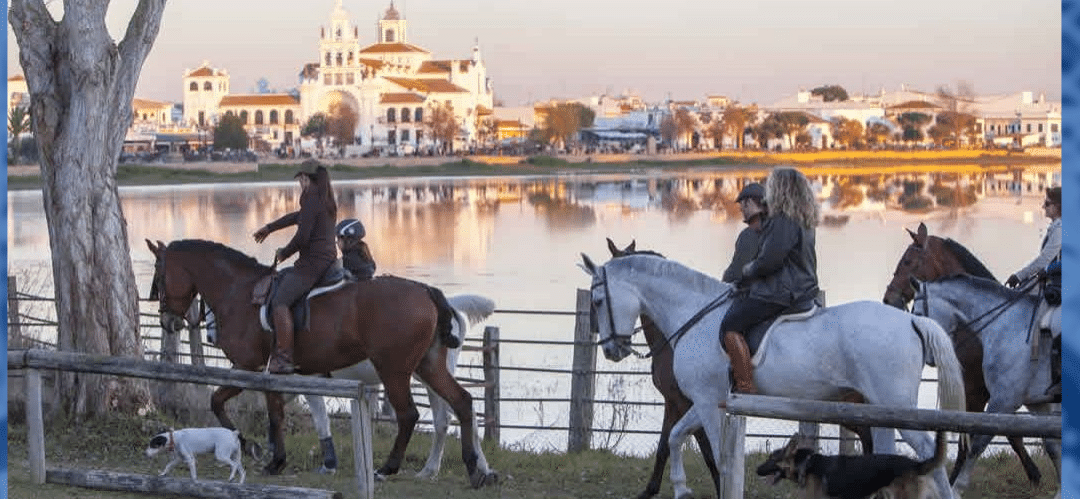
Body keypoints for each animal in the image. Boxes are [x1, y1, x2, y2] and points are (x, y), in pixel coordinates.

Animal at [145, 239, 496, 487]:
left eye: (159, 276)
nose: (167, 321)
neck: (240, 292)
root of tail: (425, 291)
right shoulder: (284, 374)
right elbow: (286, 414)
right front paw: (268, 453)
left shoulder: (250, 368)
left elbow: (236, 406)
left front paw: (262, 453)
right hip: (428, 366)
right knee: (462, 404)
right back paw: (473, 470)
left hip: (394, 369)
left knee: (413, 415)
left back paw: (389, 469)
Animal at [580, 252, 965, 499]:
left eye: (597, 301)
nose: (612, 350)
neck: (695, 315)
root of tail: (911, 320)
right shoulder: (706, 401)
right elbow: (676, 437)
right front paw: (681, 488)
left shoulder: (705, 402)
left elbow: (718, 457)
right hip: (880, 408)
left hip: (893, 404)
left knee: (927, 451)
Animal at [912, 274, 1061, 495]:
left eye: (918, 314)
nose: (929, 357)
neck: (1008, 328)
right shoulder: (1038, 403)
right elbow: (1052, 446)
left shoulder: (1003, 400)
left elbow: (977, 443)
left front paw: (957, 489)